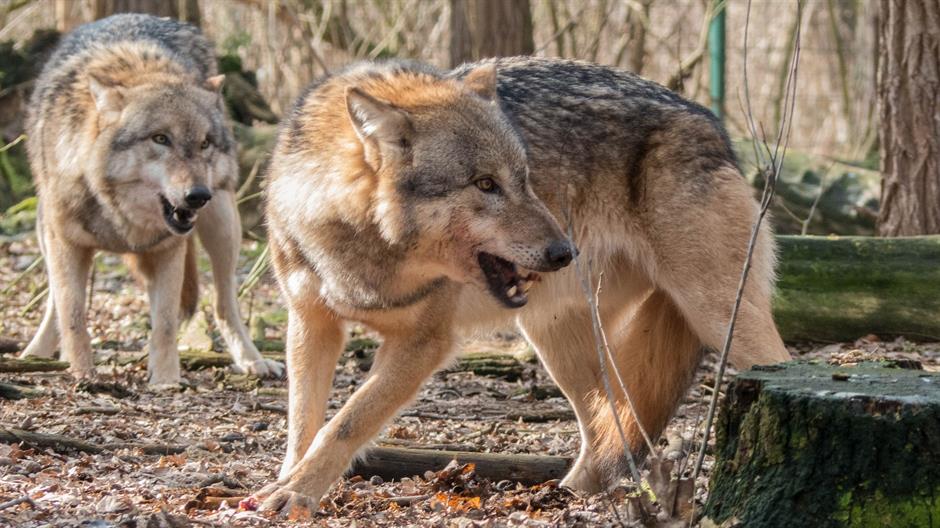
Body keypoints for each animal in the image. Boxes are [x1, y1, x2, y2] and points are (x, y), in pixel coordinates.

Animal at [20, 14, 283, 384]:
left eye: (204, 143)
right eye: (161, 139)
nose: (198, 195)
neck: (119, 215)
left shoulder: (168, 249)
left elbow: (167, 323)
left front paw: (166, 382)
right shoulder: (66, 244)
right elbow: (72, 314)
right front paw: (84, 373)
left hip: (223, 225)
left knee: (224, 304)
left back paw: (252, 360)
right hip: (45, 232)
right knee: (55, 303)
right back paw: (37, 354)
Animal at [254, 57, 791, 514]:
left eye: (526, 178)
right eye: (485, 184)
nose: (563, 252)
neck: (362, 246)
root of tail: (712, 123)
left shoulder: (424, 342)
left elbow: (346, 422)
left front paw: (295, 493)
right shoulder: (310, 324)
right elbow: (303, 423)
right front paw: (287, 484)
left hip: (721, 319)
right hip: (556, 338)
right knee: (608, 424)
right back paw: (570, 496)